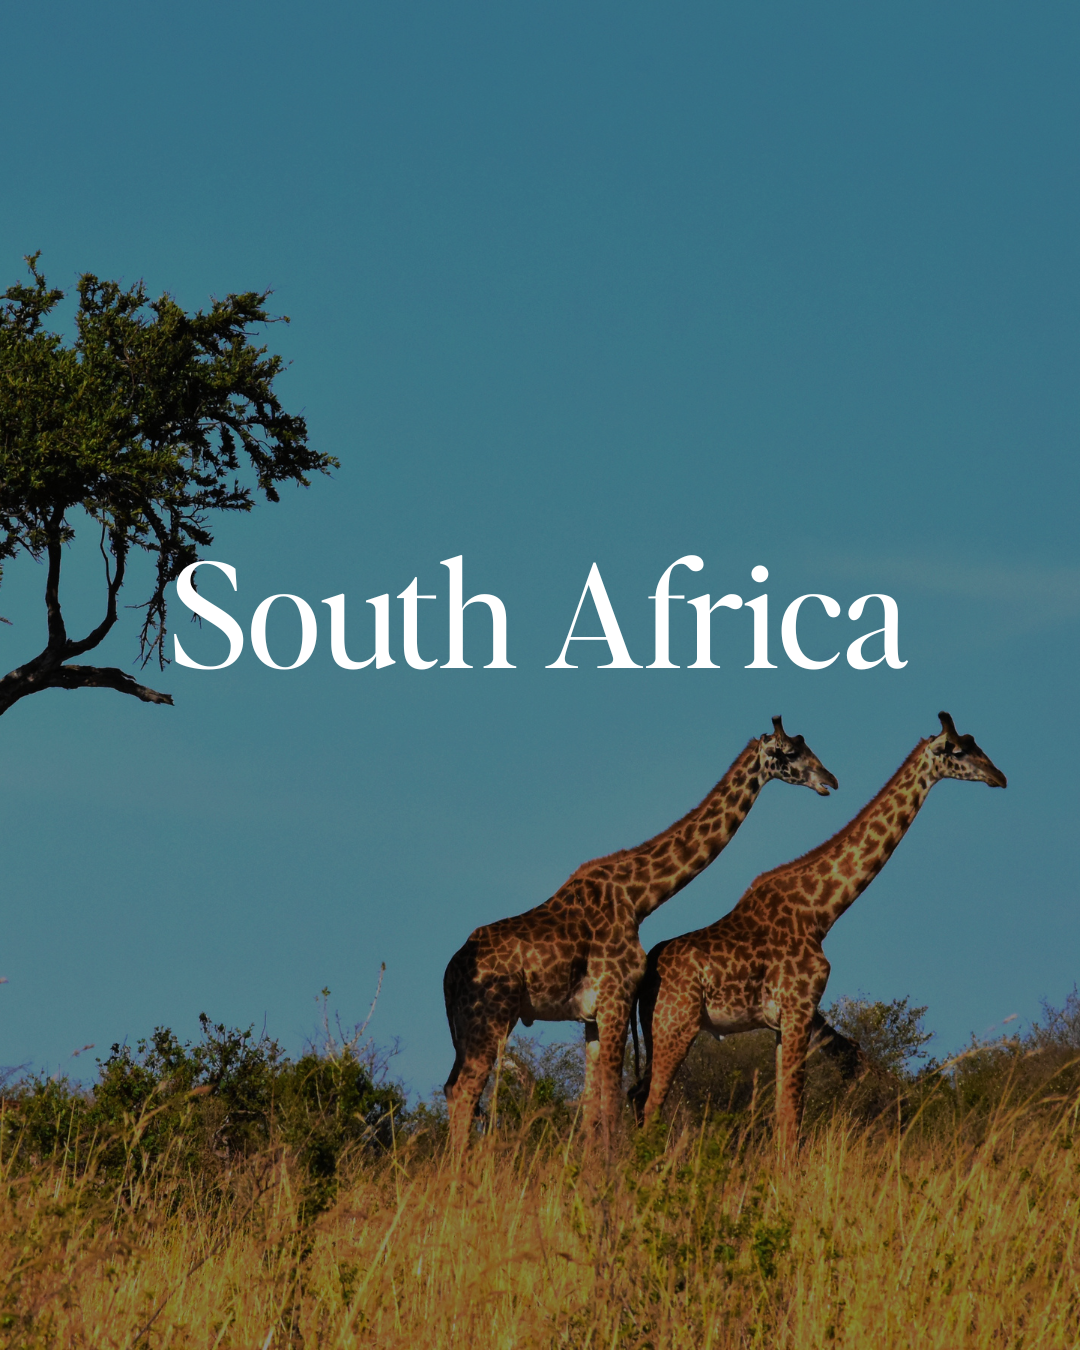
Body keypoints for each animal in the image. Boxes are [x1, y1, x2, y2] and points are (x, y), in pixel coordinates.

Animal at [442, 716, 839, 1152]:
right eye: (790, 752)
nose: (830, 780)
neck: (638, 897)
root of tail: (449, 975)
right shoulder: (615, 997)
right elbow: (612, 1100)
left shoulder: (592, 1013)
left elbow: (593, 1104)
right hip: (493, 1018)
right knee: (466, 1090)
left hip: (466, 1028)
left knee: (452, 1089)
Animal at [629, 712, 1007, 1149]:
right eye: (958, 751)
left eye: (977, 743)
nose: (999, 776)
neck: (821, 911)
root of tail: (647, 974)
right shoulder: (799, 1008)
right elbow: (793, 1114)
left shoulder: (788, 1020)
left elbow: (784, 1112)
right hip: (676, 1024)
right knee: (651, 1103)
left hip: (654, 1029)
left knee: (637, 1095)